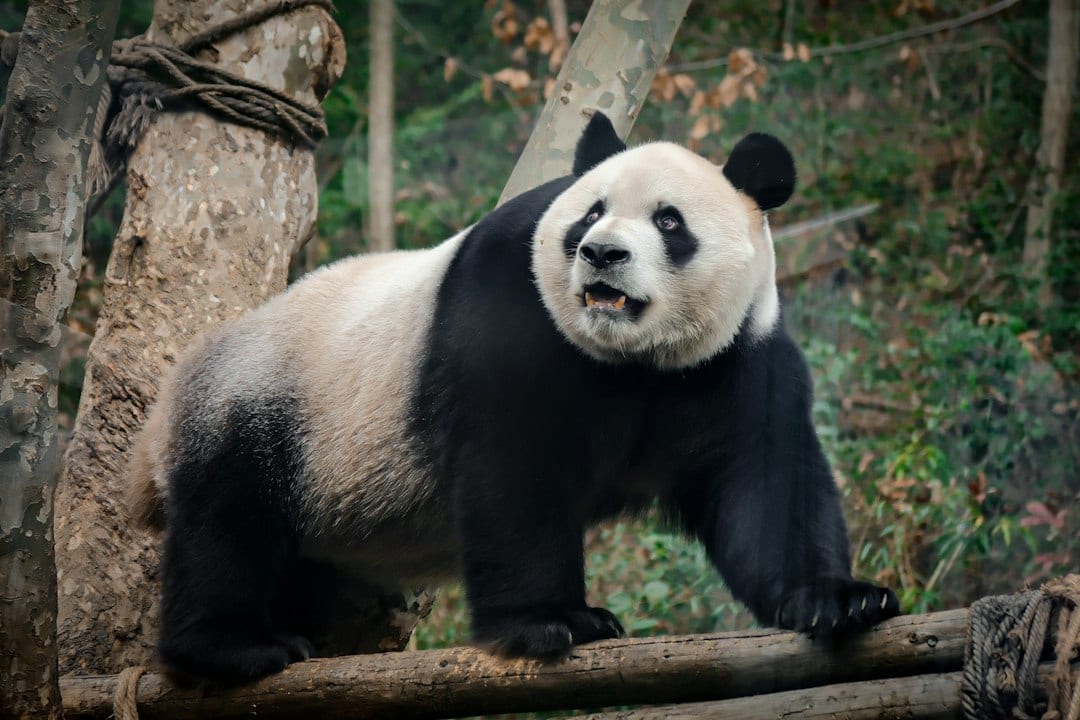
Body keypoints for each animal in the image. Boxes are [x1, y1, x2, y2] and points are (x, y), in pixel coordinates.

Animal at [128, 112, 899, 683]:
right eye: (590, 213)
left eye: (669, 221)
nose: (602, 254)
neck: (633, 358)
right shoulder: (509, 304)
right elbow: (513, 467)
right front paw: (555, 620)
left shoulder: (735, 358)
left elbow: (765, 485)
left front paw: (838, 600)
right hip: (269, 404)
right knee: (229, 522)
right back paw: (236, 646)